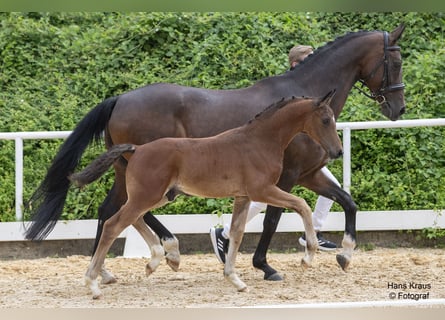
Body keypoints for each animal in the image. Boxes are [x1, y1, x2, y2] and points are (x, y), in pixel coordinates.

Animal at [68, 92, 340, 298]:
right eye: (326, 120)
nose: (337, 152)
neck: (260, 141)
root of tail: (138, 149)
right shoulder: (263, 190)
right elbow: (302, 205)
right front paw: (308, 256)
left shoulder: (243, 197)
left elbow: (237, 233)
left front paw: (235, 280)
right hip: (147, 196)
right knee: (114, 224)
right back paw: (93, 283)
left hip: (155, 196)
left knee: (131, 218)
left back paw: (156, 259)